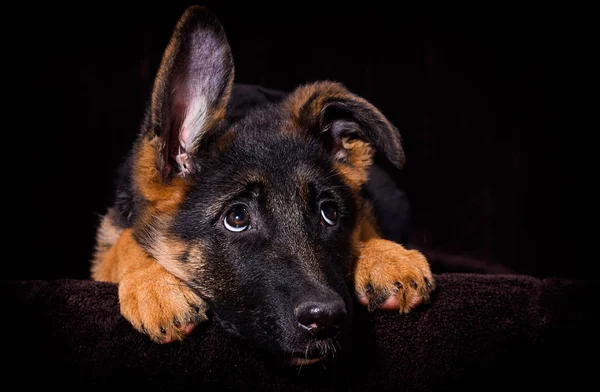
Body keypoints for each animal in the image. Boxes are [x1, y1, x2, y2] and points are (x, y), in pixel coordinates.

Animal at [91, 6, 434, 366]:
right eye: (237, 218)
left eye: (329, 213)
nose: (326, 320)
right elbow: (124, 240)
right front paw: (153, 284)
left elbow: (363, 223)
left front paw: (385, 256)